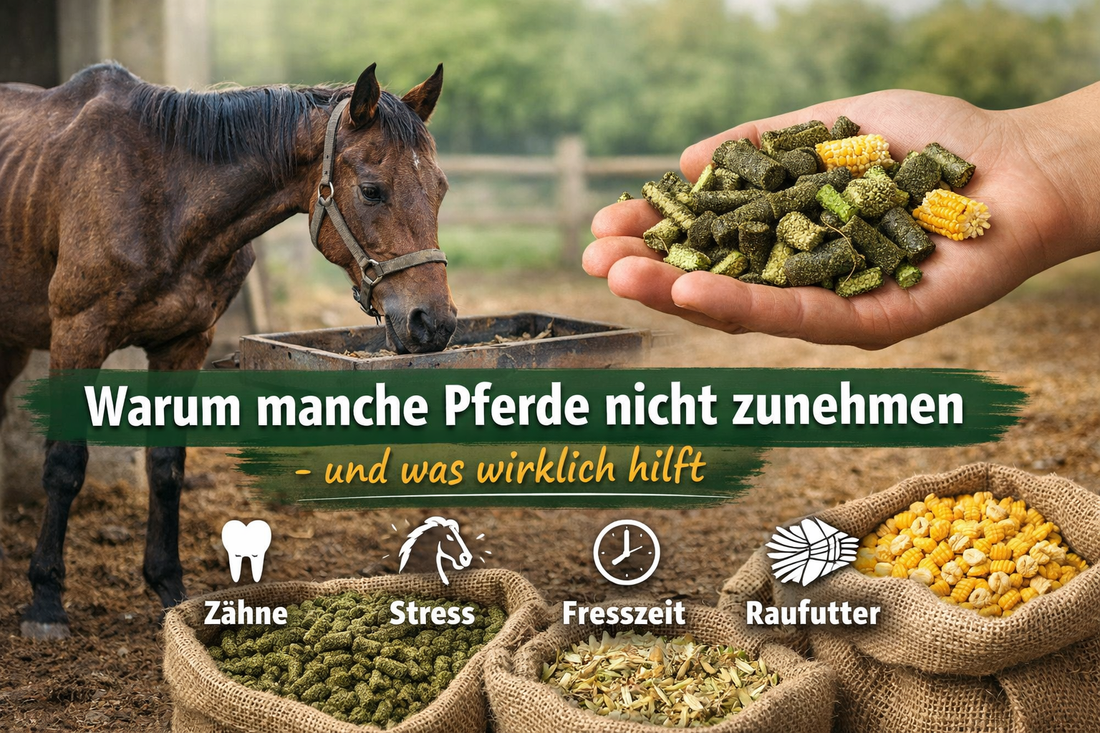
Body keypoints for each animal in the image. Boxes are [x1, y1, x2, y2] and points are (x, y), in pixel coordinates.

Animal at [0, 61, 458, 639]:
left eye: (441, 189)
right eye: (373, 191)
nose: (434, 322)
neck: (162, 193)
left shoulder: (183, 345)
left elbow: (166, 466)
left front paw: (169, 588)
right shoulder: (76, 336)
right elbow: (64, 464)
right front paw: (44, 601)